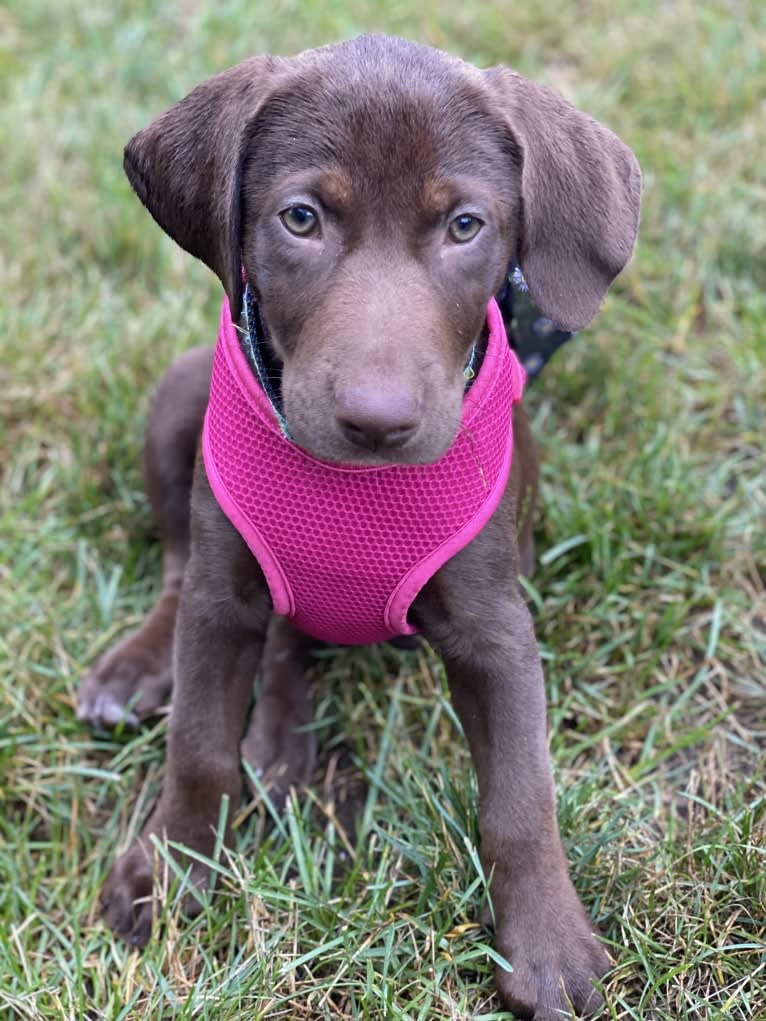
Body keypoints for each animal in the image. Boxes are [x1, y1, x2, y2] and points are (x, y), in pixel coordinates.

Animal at [79, 33, 641, 1021]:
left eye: (466, 226)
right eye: (301, 219)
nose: (377, 421)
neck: (353, 489)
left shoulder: (496, 627)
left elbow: (521, 798)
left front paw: (548, 945)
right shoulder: (223, 602)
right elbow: (196, 745)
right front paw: (171, 870)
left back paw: (278, 739)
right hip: (181, 399)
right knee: (189, 572)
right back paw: (148, 676)